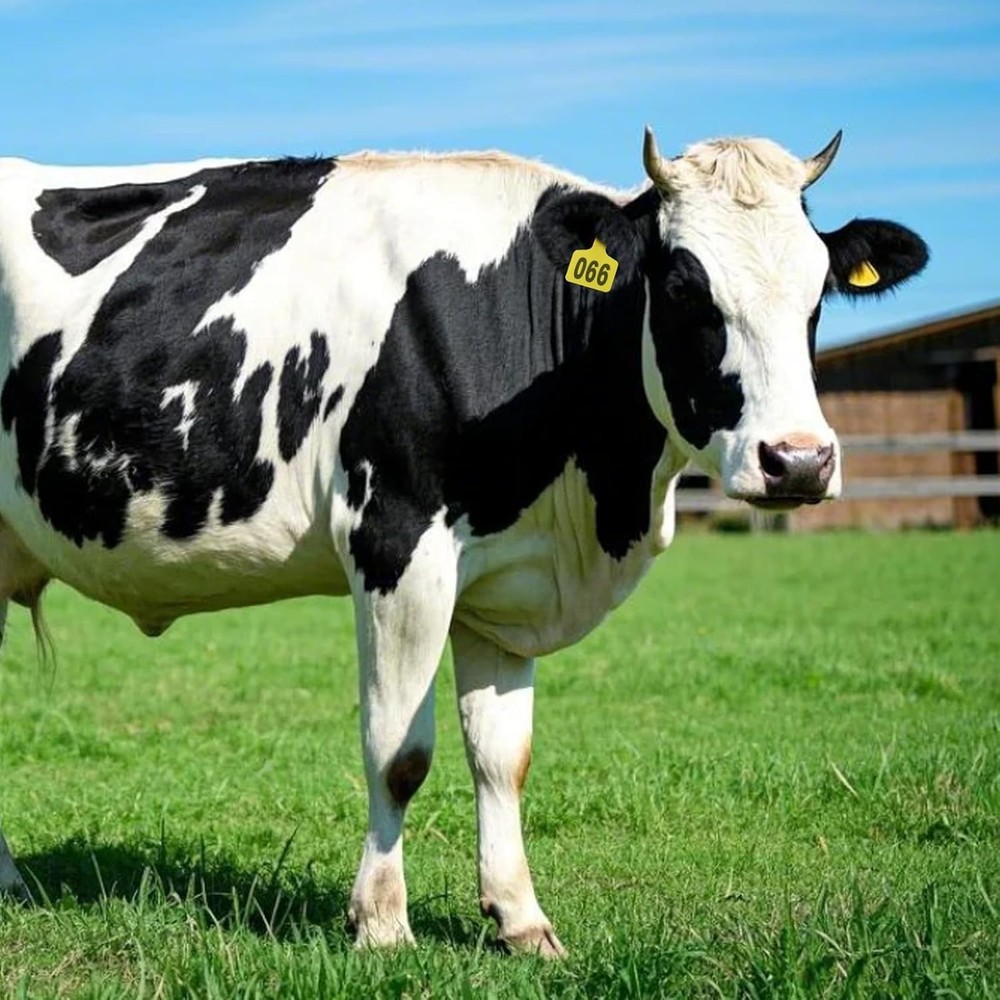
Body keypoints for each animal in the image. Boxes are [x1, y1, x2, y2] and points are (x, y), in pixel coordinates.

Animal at [0, 128, 927, 954]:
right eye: (685, 290)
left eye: (817, 296)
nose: (799, 460)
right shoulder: (396, 542)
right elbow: (399, 753)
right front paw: (380, 923)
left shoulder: (507, 578)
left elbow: (503, 756)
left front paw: (520, 920)